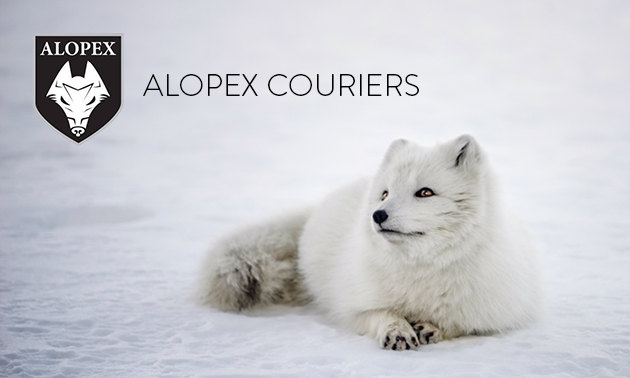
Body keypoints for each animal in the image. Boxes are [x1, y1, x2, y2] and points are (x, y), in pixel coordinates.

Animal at [200, 134, 544, 350]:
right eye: (385, 193)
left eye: (425, 192)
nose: (377, 215)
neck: (422, 269)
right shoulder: (354, 306)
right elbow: (380, 314)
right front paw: (397, 330)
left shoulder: (495, 312)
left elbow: (462, 323)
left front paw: (433, 328)